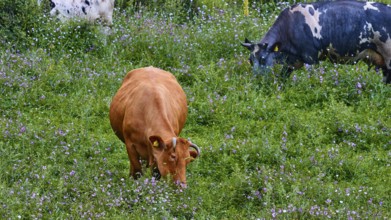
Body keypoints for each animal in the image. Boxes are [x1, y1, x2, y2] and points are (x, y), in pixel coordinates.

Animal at [242, 0, 391, 83]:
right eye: (250, 61)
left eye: (262, 59)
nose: (256, 79)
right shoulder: (291, 62)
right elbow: (282, 78)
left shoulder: (311, 59)